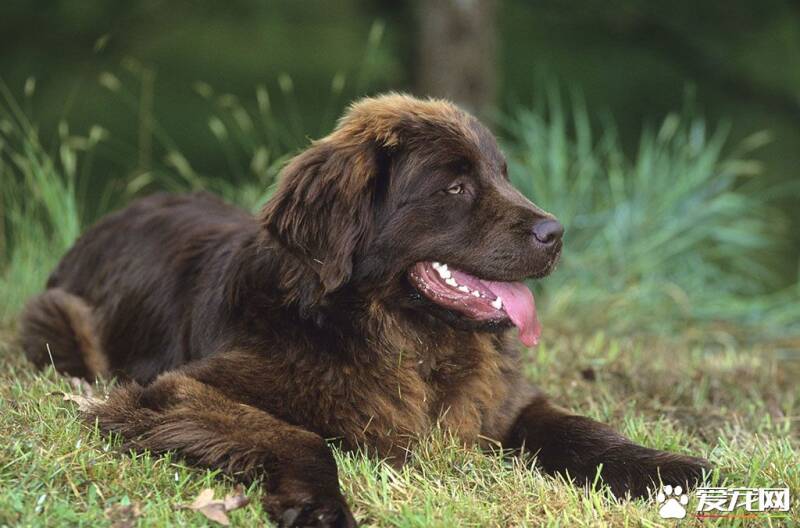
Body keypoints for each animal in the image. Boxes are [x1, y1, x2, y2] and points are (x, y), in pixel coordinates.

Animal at [18, 95, 708, 528]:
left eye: (502, 175)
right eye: (456, 185)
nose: (556, 232)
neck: (398, 338)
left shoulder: (505, 405)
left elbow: (582, 430)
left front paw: (667, 468)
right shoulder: (172, 392)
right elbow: (294, 434)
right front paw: (321, 507)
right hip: (55, 318)